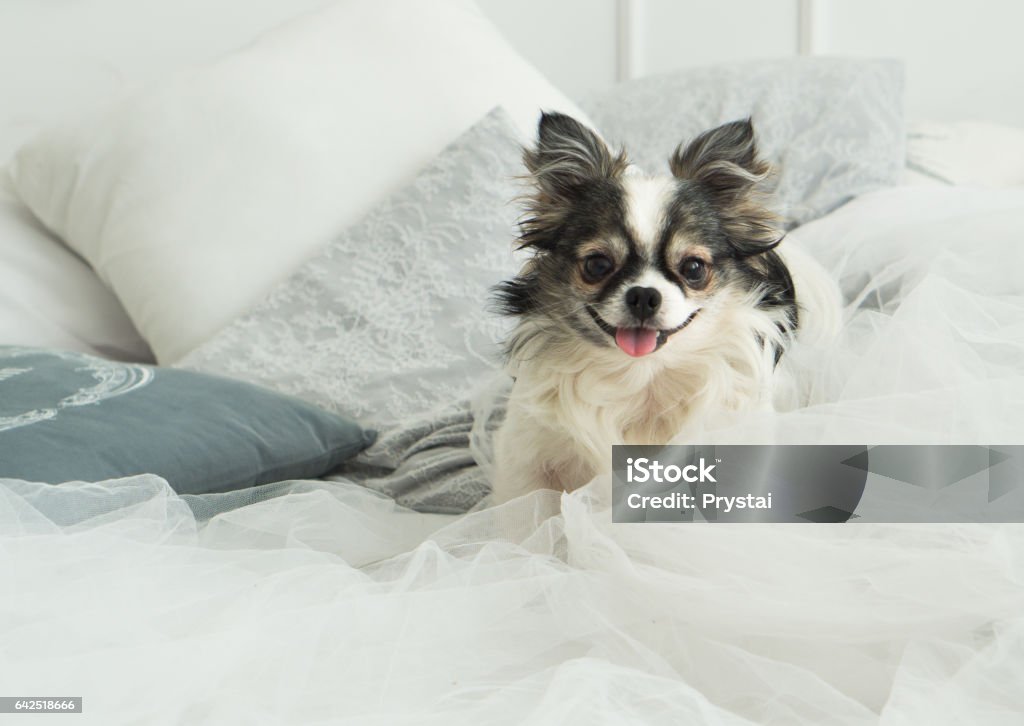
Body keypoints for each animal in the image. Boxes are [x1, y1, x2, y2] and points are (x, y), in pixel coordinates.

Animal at [489, 113, 839, 501]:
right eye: (597, 265)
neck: (644, 376)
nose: (644, 295)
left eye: (693, 268)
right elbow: (525, 510)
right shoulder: (527, 456)